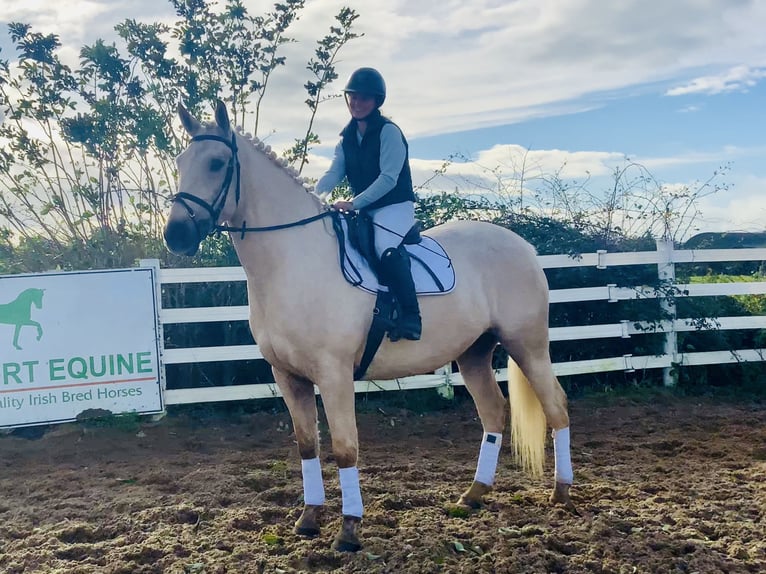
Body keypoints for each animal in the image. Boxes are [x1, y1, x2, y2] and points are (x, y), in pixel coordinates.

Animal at [163, 101, 575, 551]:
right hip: (473, 353)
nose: (175, 235)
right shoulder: (287, 376)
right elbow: (307, 445)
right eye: (180, 162)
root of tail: (523, 245)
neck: (292, 261)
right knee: (493, 412)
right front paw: (309, 518)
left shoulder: (335, 374)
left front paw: (348, 529)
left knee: (556, 405)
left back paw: (561, 493)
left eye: (217, 163)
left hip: (527, 345)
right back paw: (473, 494)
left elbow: (345, 448)